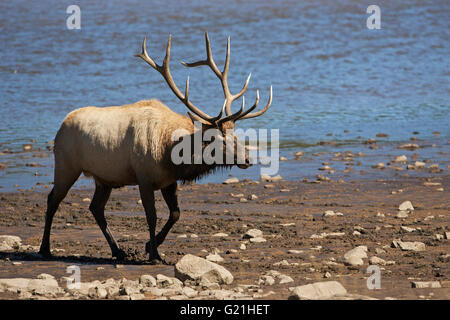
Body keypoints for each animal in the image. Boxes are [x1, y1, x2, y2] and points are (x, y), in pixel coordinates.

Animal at [39, 32, 274, 264]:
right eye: (218, 138)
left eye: (236, 134)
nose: (247, 159)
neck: (170, 152)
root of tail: (61, 126)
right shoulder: (144, 178)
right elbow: (151, 215)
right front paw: (153, 254)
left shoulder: (169, 181)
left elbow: (175, 213)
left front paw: (150, 246)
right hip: (66, 165)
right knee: (53, 199)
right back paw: (45, 249)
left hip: (103, 179)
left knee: (95, 208)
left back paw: (118, 251)